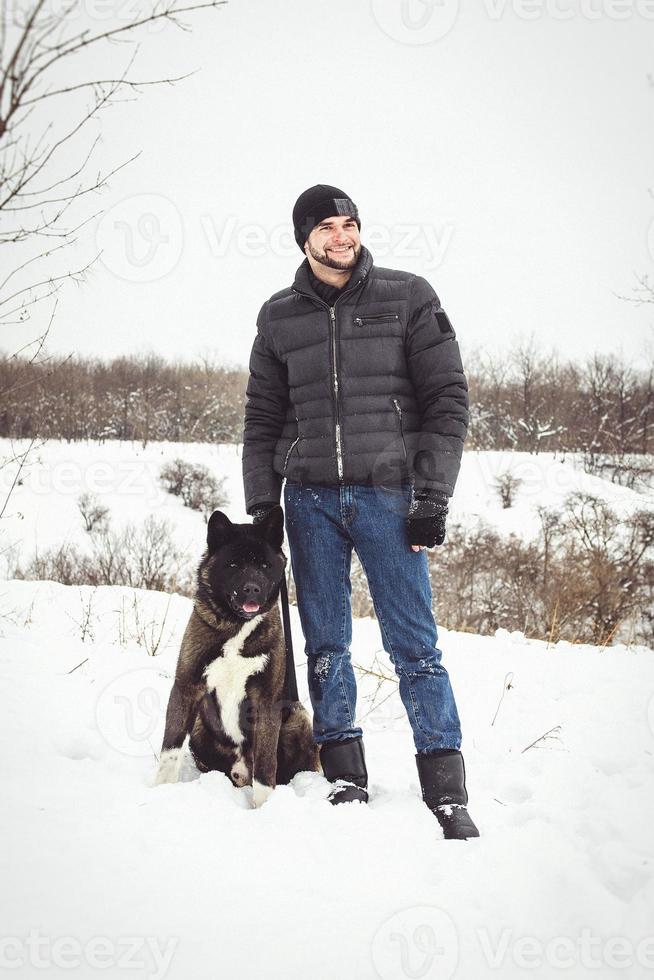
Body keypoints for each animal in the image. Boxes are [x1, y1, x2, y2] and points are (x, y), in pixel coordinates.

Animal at [154, 506, 318, 804]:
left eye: (264, 565)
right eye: (233, 565)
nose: (252, 588)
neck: (236, 627)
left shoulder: (266, 702)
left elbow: (265, 766)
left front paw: (264, 807)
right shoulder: (186, 687)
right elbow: (169, 751)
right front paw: (159, 791)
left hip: (298, 718)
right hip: (199, 728)